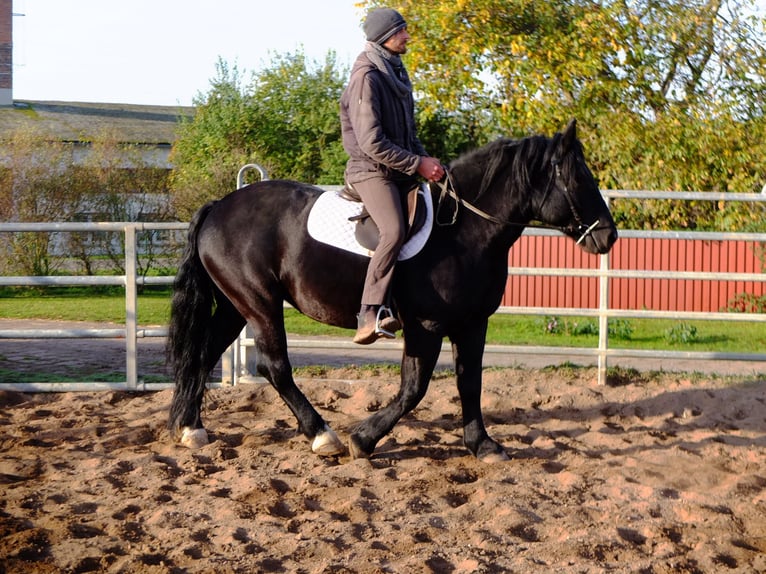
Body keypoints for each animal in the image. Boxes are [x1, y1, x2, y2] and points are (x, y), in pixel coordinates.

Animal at [166, 120, 616, 464]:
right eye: (578, 177)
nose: (609, 236)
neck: (462, 230)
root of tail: (219, 206)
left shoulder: (472, 324)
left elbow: (470, 383)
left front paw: (483, 445)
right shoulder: (426, 327)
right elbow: (414, 388)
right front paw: (363, 439)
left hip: (234, 305)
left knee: (203, 354)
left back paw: (191, 428)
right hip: (259, 304)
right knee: (274, 367)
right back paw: (322, 435)